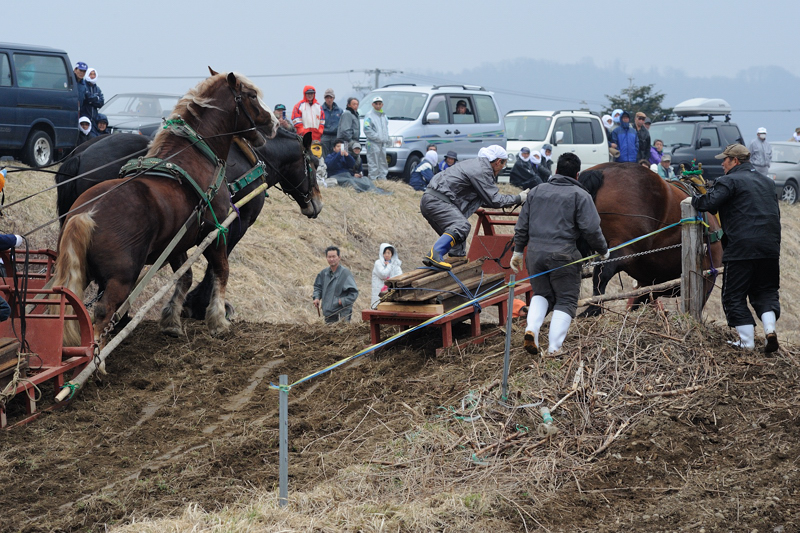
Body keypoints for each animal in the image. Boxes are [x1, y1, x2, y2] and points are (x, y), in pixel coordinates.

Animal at [54, 68, 276, 348]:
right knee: (103, 312)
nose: (274, 123)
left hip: (80, 272)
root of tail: (86, 214)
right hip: (121, 277)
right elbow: (221, 271)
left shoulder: (177, 243)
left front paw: (171, 321)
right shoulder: (214, 232)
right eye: (251, 96)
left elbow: (184, 276)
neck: (194, 157)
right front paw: (217, 320)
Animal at [54, 127, 324, 320]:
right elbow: (217, 263)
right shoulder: (236, 223)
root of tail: (79, 155)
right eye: (314, 163)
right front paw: (200, 305)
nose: (317, 204)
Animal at [576, 160, 724, 314]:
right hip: (624, 249)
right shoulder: (705, 280)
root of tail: (602, 172)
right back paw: (594, 308)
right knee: (602, 272)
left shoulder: (648, 282)